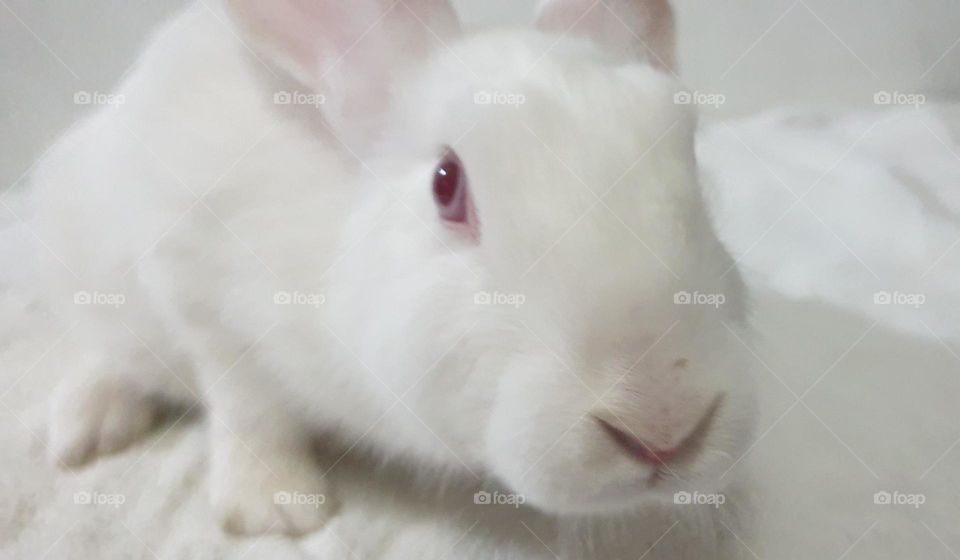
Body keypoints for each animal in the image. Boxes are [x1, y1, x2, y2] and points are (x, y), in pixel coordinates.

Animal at [33, 0, 756, 552]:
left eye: (688, 155)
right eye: (446, 185)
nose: (664, 429)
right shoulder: (199, 295)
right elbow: (249, 409)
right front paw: (274, 508)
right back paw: (86, 429)